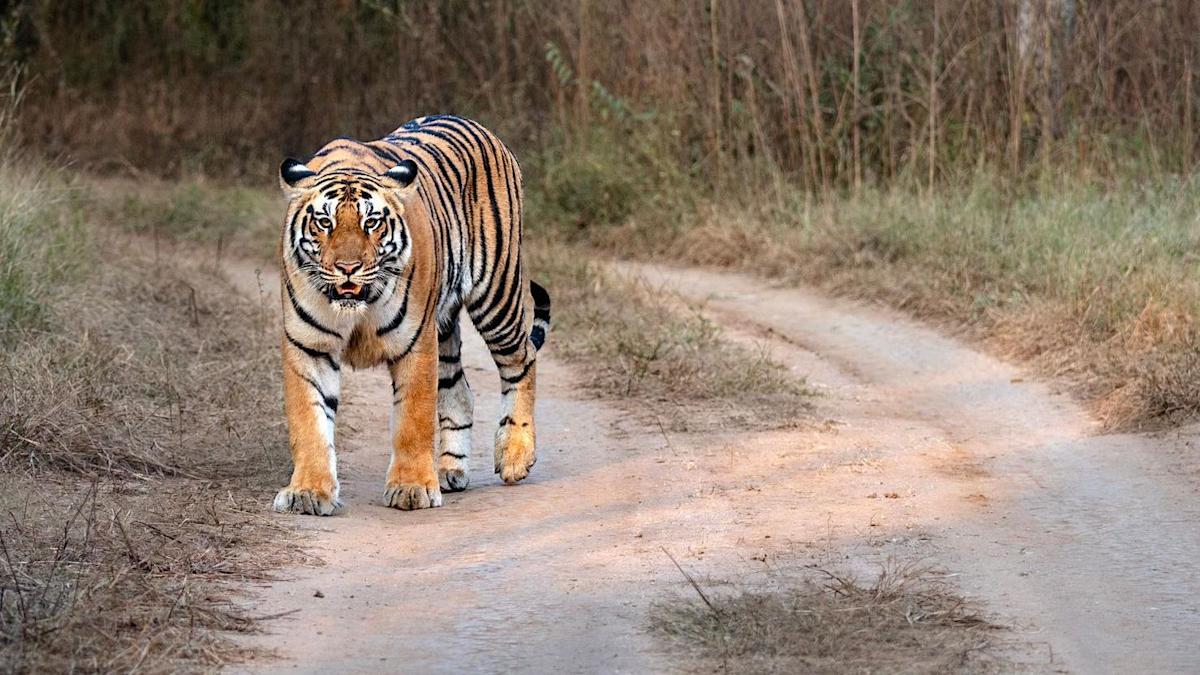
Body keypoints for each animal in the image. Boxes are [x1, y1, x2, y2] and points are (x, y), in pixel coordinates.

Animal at [272, 115, 551, 515]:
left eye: (372, 222)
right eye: (324, 223)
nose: (347, 268)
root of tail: (480, 127)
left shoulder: (415, 342)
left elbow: (413, 418)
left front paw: (412, 488)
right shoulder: (308, 346)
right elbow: (308, 420)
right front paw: (308, 491)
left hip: (497, 292)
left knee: (521, 360)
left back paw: (515, 455)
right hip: (446, 324)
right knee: (461, 391)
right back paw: (450, 471)